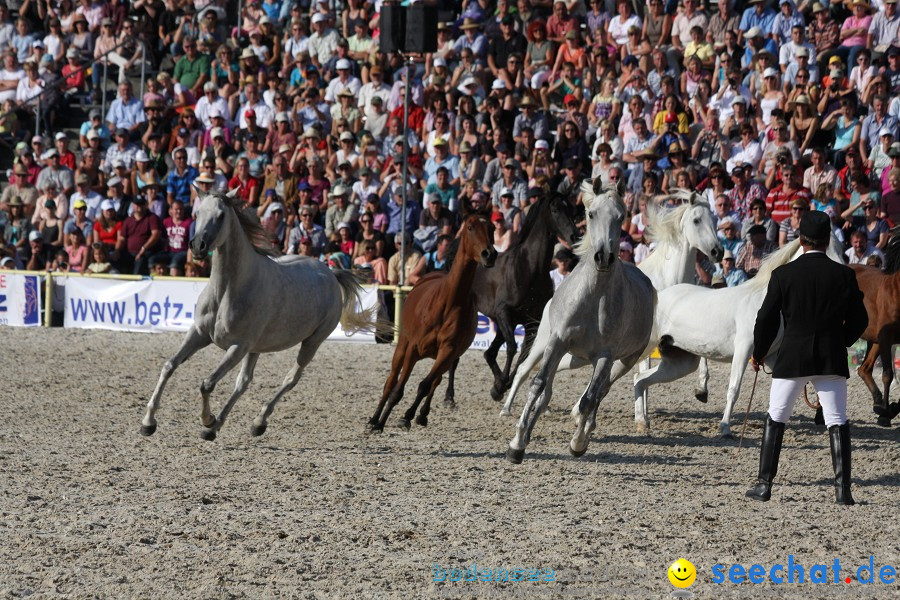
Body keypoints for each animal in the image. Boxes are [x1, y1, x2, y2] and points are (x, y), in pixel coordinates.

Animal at [140, 189, 376, 440]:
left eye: (221, 215)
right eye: (197, 213)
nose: (197, 246)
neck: (227, 290)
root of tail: (331, 273)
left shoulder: (238, 347)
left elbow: (207, 384)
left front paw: (207, 418)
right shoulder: (199, 334)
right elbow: (169, 366)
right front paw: (148, 422)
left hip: (311, 343)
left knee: (291, 378)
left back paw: (256, 422)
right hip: (257, 348)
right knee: (243, 382)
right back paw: (218, 427)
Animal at [370, 213, 500, 428]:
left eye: (492, 228)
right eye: (470, 227)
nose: (489, 254)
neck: (449, 301)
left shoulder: (447, 352)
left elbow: (426, 385)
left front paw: (409, 416)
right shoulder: (413, 348)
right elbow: (398, 389)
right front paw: (379, 423)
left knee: (434, 381)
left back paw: (421, 414)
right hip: (402, 345)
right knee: (391, 380)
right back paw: (374, 419)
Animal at [500, 189, 724, 422]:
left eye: (714, 219)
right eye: (697, 220)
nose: (717, 251)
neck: (668, 280)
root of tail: (552, 299)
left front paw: (701, 390)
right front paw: (641, 415)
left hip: (575, 354)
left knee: (558, 367)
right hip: (545, 341)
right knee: (524, 369)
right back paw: (507, 408)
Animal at [506, 183, 652, 464]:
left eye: (622, 216)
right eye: (591, 214)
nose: (604, 257)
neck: (593, 298)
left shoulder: (606, 356)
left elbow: (589, 399)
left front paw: (578, 442)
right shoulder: (557, 342)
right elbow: (538, 386)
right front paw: (517, 444)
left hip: (622, 362)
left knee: (599, 392)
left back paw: (585, 431)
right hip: (567, 354)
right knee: (547, 390)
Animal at [628, 234, 848, 436]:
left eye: (841, 247)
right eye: (824, 247)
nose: (845, 272)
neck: (762, 301)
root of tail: (656, 295)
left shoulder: (770, 356)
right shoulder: (743, 350)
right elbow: (734, 389)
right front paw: (725, 428)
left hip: (681, 362)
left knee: (640, 379)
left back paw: (642, 423)